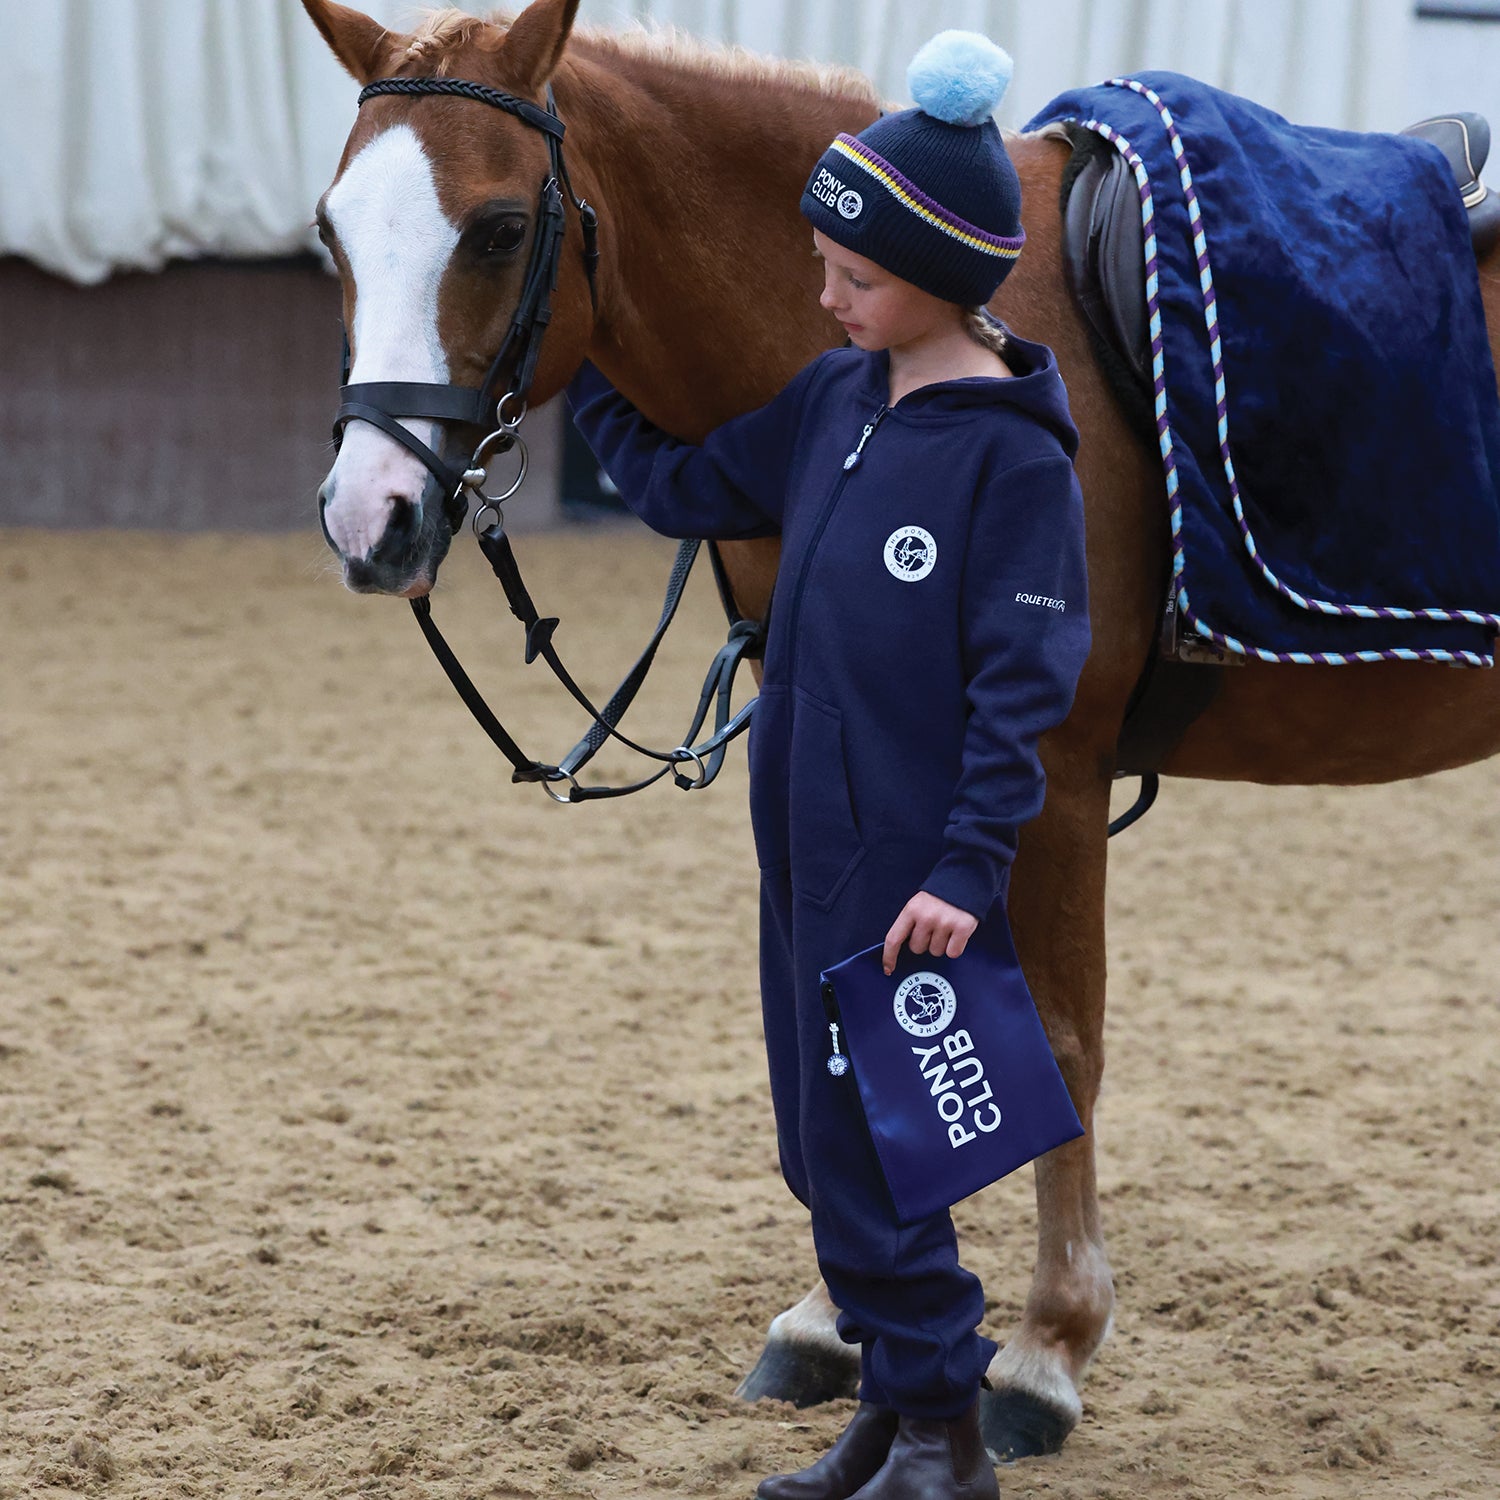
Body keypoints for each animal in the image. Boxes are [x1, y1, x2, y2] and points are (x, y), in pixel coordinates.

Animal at [300, 0, 1500, 1462]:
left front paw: (1043, 1353)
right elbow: (835, 993)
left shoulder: (1046, 771)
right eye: (332, 231)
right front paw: (836, 1319)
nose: (370, 518)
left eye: (496, 228)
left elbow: (1054, 1035)